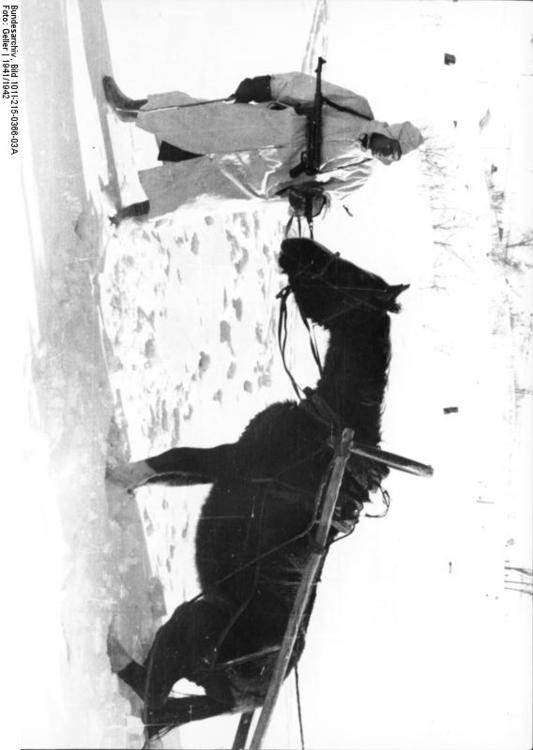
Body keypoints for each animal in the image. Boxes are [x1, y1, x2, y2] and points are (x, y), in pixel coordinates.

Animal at [107, 241, 408, 740]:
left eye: (343, 274)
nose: (293, 245)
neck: (331, 422)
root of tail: (261, 687)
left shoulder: (234, 460)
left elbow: (172, 459)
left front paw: (115, 476)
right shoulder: (228, 463)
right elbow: (174, 469)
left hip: (191, 628)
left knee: (149, 698)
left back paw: (111, 645)